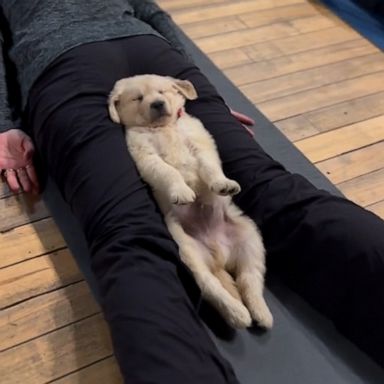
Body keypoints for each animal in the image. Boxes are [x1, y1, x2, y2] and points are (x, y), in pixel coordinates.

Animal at [106, 76, 272, 330]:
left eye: (162, 92)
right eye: (138, 98)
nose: (157, 104)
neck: (163, 127)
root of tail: (218, 255)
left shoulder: (200, 143)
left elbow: (210, 167)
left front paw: (223, 184)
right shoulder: (145, 155)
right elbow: (168, 171)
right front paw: (182, 192)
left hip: (250, 238)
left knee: (249, 278)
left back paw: (260, 312)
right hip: (189, 251)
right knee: (211, 285)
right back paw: (237, 313)